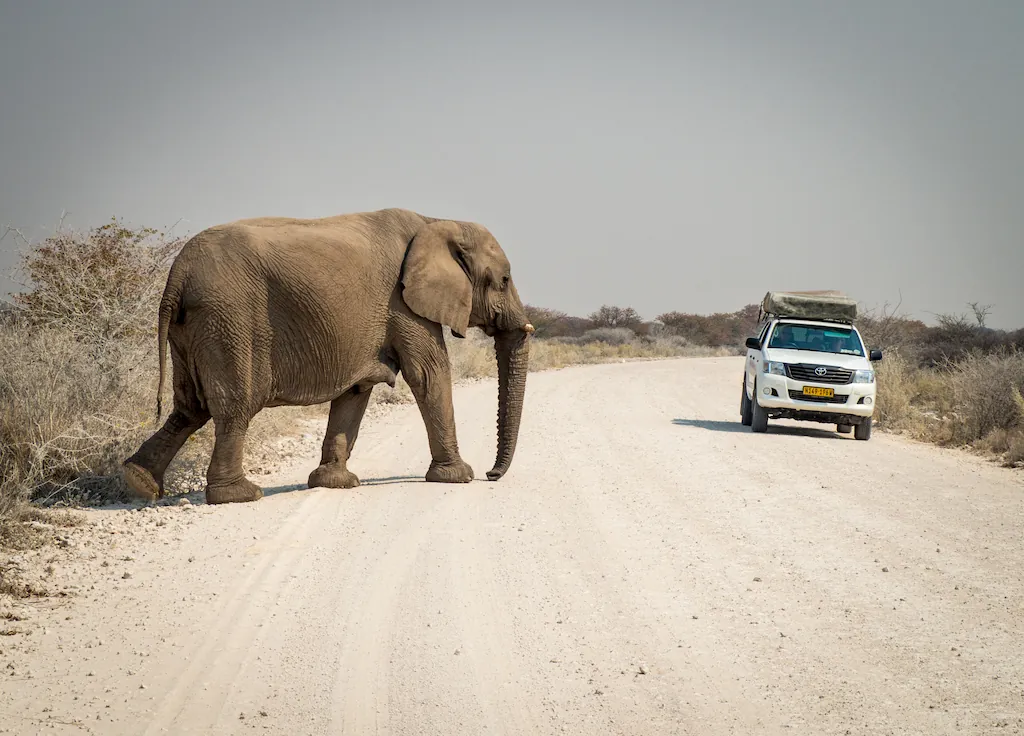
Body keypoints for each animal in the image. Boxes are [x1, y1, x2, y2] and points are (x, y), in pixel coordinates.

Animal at [121, 208, 534, 505]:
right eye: (504, 281)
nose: (491, 475)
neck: (437, 222)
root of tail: (176, 275)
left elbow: (356, 390)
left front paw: (335, 484)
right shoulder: (403, 305)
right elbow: (429, 374)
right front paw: (458, 476)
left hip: (190, 328)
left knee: (189, 406)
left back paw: (140, 482)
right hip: (229, 319)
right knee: (234, 406)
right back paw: (239, 495)